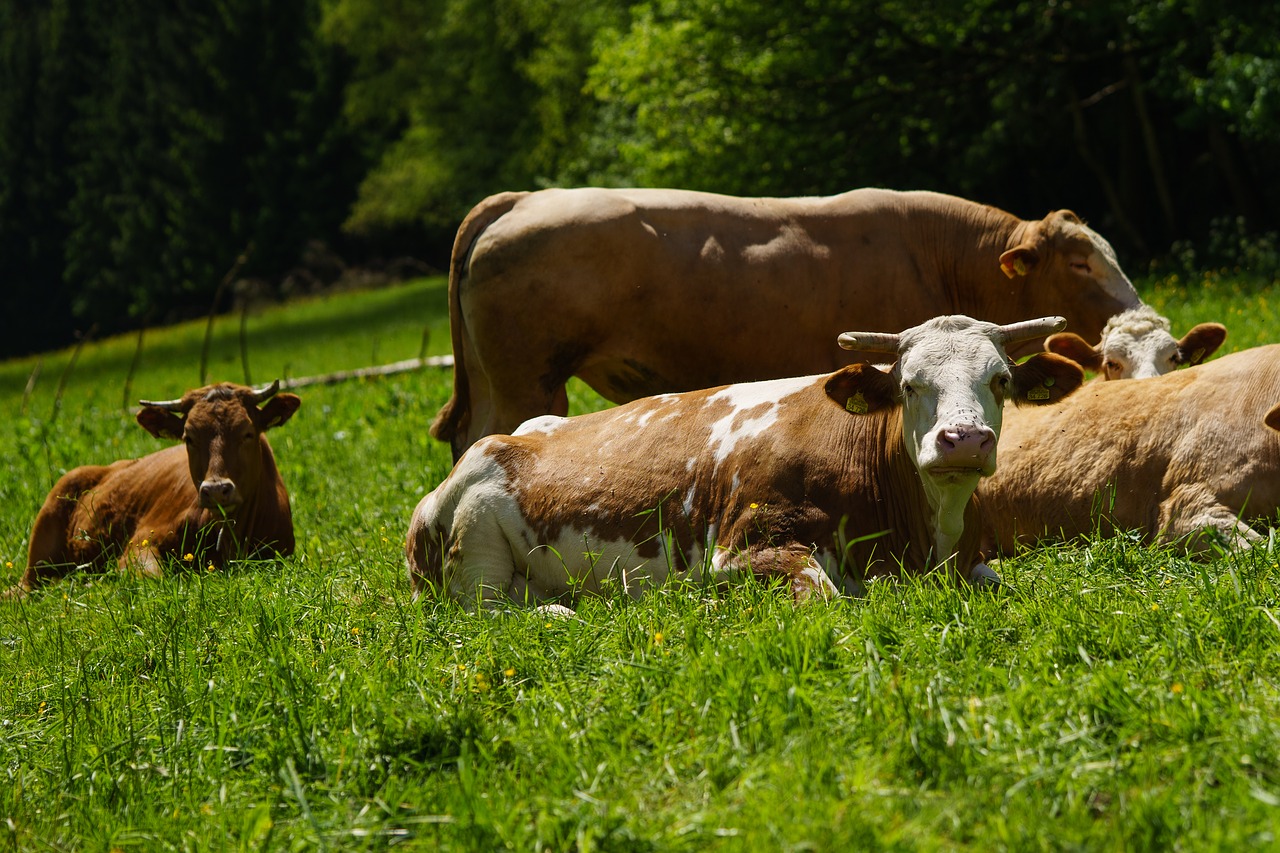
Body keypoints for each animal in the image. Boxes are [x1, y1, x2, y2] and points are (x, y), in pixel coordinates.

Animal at [5, 379, 299, 596]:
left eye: (247, 433)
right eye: (189, 437)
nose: (216, 490)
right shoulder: (141, 541)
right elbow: (149, 576)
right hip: (39, 555)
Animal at [404, 315, 1085, 607]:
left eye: (1000, 379)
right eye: (910, 384)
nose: (964, 440)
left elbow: (1000, 579)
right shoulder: (737, 549)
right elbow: (823, 596)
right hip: (474, 552)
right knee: (494, 612)